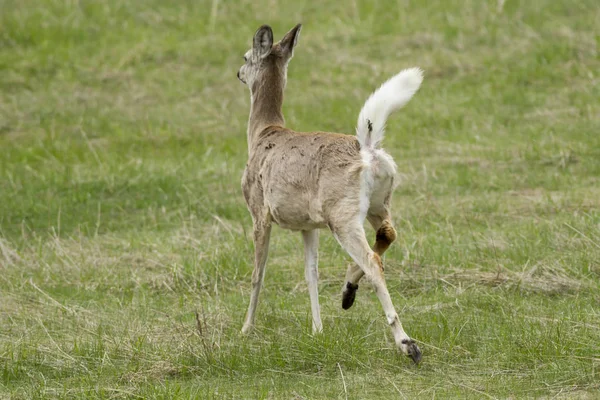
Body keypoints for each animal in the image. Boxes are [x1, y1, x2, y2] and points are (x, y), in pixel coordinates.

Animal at [237, 23, 424, 364]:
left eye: (246, 56)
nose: (238, 73)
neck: (262, 134)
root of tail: (367, 150)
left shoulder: (259, 212)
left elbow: (258, 273)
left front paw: (246, 330)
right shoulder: (308, 225)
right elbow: (311, 273)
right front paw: (318, 330)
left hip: (343, 215)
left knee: (373, 262)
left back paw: (407, 344)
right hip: (377, 204)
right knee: (388, 235)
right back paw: (348, 293)